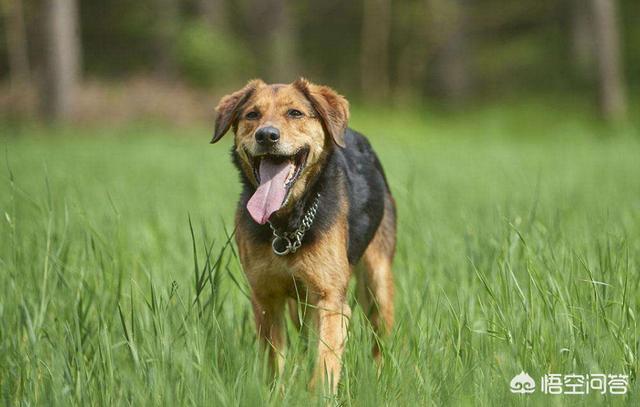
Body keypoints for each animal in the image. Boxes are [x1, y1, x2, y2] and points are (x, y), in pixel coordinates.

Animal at [210, 78, 396, 394]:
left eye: (295, 113)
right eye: (252, 115)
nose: (267, 135)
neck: (287, 224)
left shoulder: (330, 298)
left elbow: (325, 361)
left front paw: (318, 394)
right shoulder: (266, 298)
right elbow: (273, 361)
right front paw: (275, 394)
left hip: (377, 281)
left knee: (379, 341)